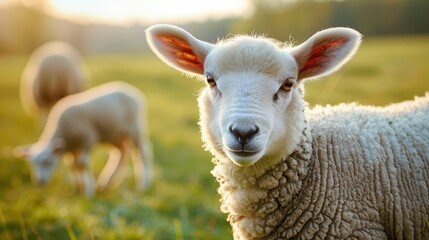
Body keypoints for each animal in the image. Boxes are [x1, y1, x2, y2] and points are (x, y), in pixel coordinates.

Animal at [13, 81, 152, 196]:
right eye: (31, 164)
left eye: (48, 161)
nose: (39, 182)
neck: (64, 131)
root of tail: (132, 90)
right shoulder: (71, 149)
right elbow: (73, 166)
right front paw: (77, 188)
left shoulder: (88, 139)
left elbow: (82, 163)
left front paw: (88, 192)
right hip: (115, 134)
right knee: (122, 153)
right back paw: (106, 182)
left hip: (135, 129)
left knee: (142, 153)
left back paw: (143, 184)